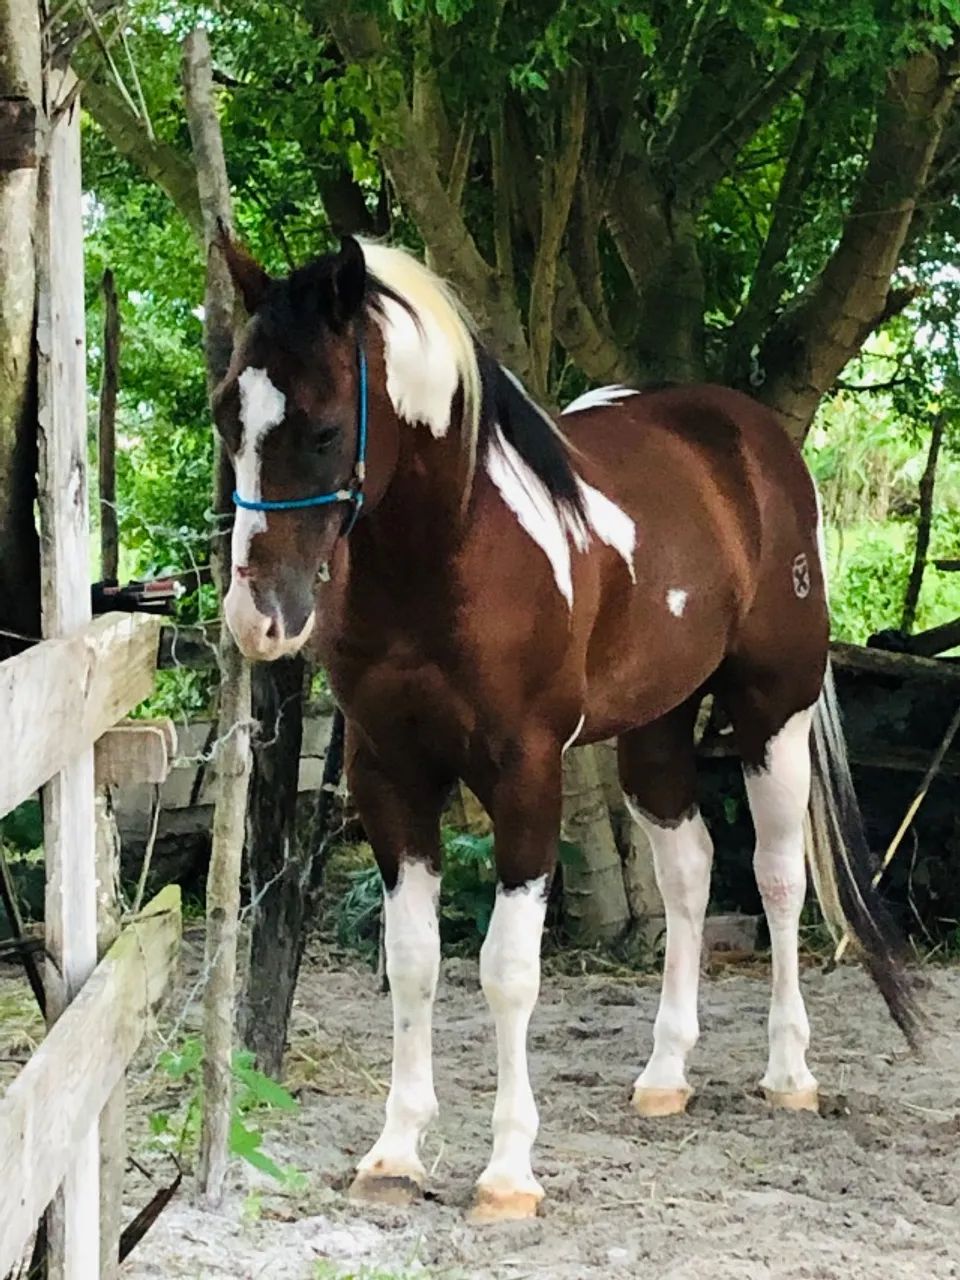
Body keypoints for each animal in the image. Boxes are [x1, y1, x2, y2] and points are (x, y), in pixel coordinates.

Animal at [211, 229, 918, 1223]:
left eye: (321, 427)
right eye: (226, 418)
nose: (258, 620)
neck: (451, 555)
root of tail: (754, 441)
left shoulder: (526, 775)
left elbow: (509, 968)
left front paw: (509, 1173)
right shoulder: (390, 774)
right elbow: (415, 960)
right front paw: (395, 1154)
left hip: (771, 714)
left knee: (778, 878)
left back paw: (789, 1074)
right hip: (656, 730)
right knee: (690, 872)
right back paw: (664, 1075)